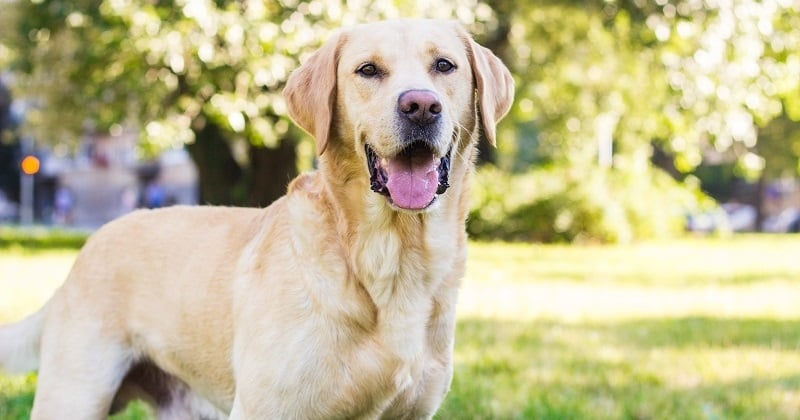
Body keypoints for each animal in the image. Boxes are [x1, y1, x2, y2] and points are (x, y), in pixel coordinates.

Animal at [0, 18, 512, 418]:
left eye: (444, 65)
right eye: (368, 70)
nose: (421, 106)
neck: (391, 256)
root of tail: (85, 250)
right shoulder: (265, 408)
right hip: (74, 395)